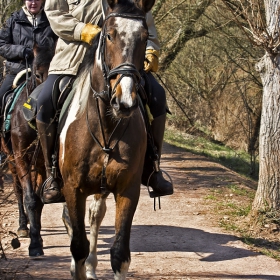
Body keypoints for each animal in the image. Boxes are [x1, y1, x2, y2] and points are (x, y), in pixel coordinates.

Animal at [0, 41, 55, 254]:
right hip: (11, 159)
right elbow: (29, 198)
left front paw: (37, 238)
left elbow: (38, 199)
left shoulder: (42, 161)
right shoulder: (21, 157)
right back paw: (23, 226)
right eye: (38, 74)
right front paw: (34, 244)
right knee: (18, 190)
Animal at [60, 0, 154, 278]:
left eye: (145, 38)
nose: (125, 101)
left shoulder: (127, 190)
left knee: (95, 214)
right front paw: (78, 267)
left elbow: (120, 254)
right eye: (109, 35)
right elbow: (77, 246)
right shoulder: (73, 188)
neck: (107, 124)